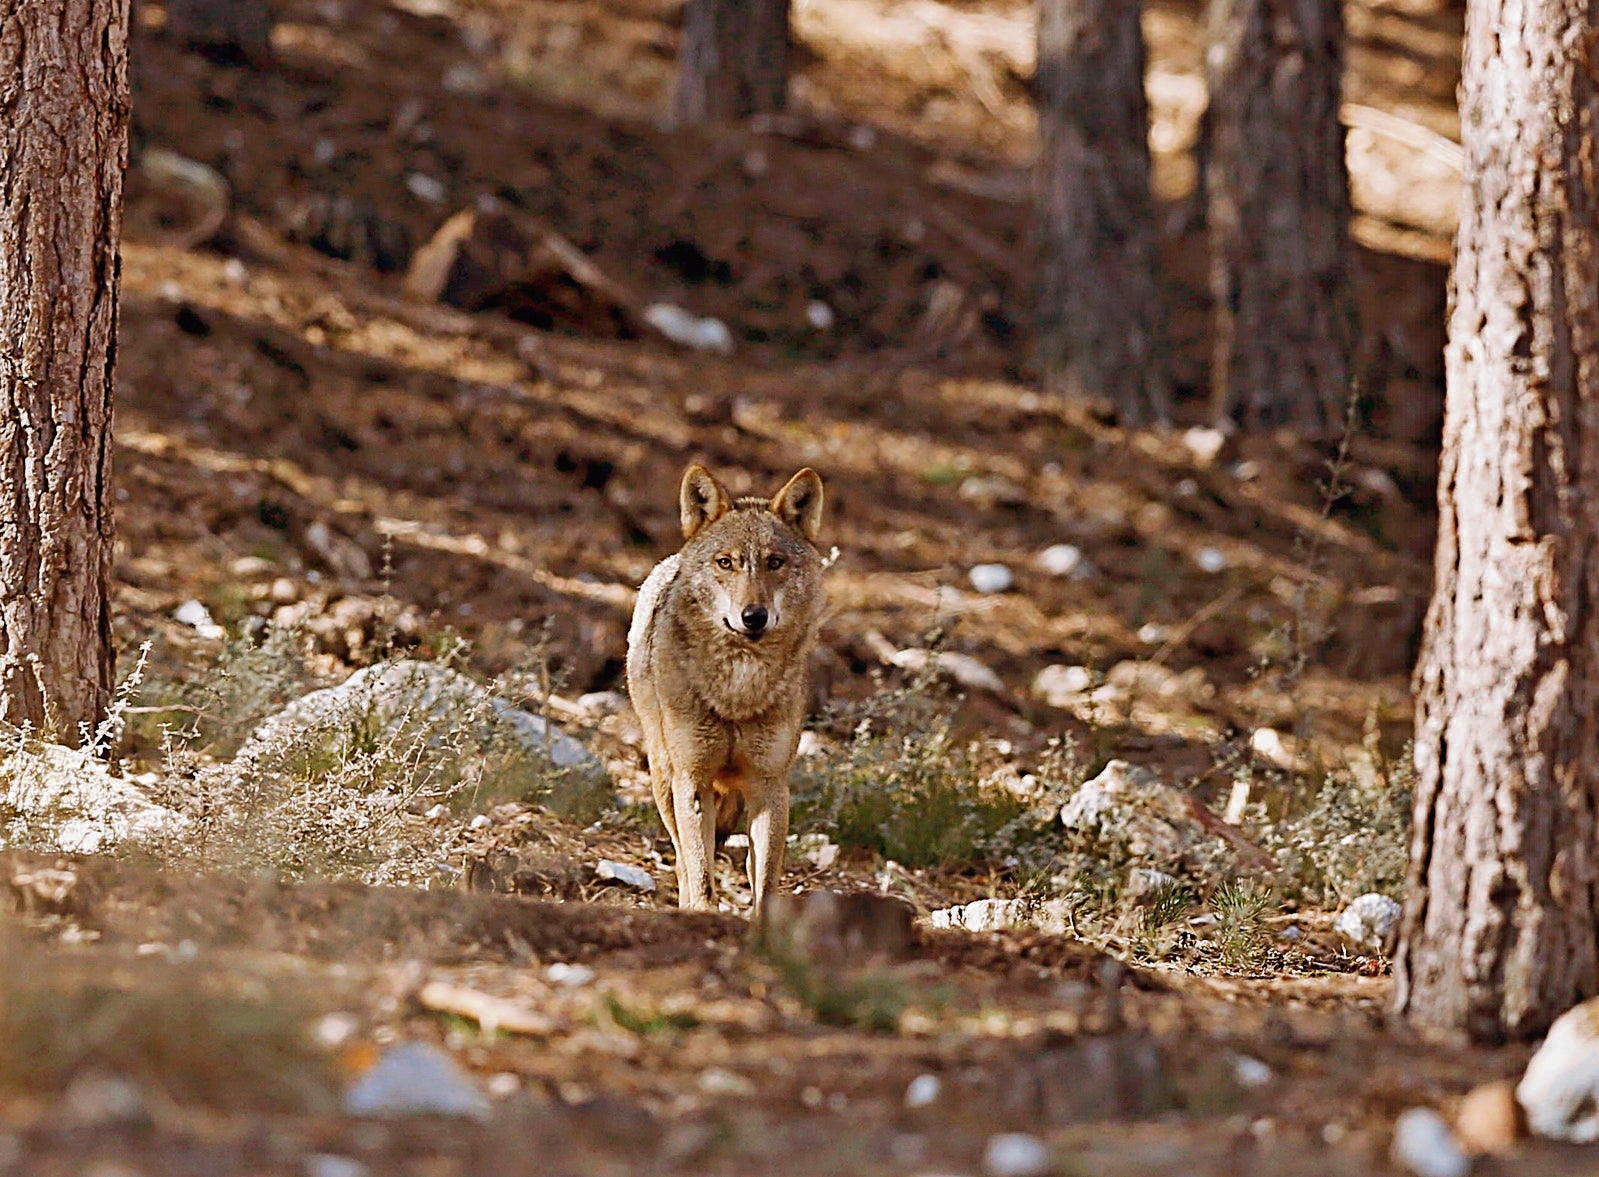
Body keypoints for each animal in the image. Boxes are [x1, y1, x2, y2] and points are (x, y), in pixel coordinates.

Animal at [623, 460, 825, 908]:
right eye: (726, 562)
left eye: (774, 562)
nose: (754, 616)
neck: (738, 689)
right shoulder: (692, 780)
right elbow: (700, 876)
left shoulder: (770, 786)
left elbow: (764, 885)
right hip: (664, 779)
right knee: (682, 862)